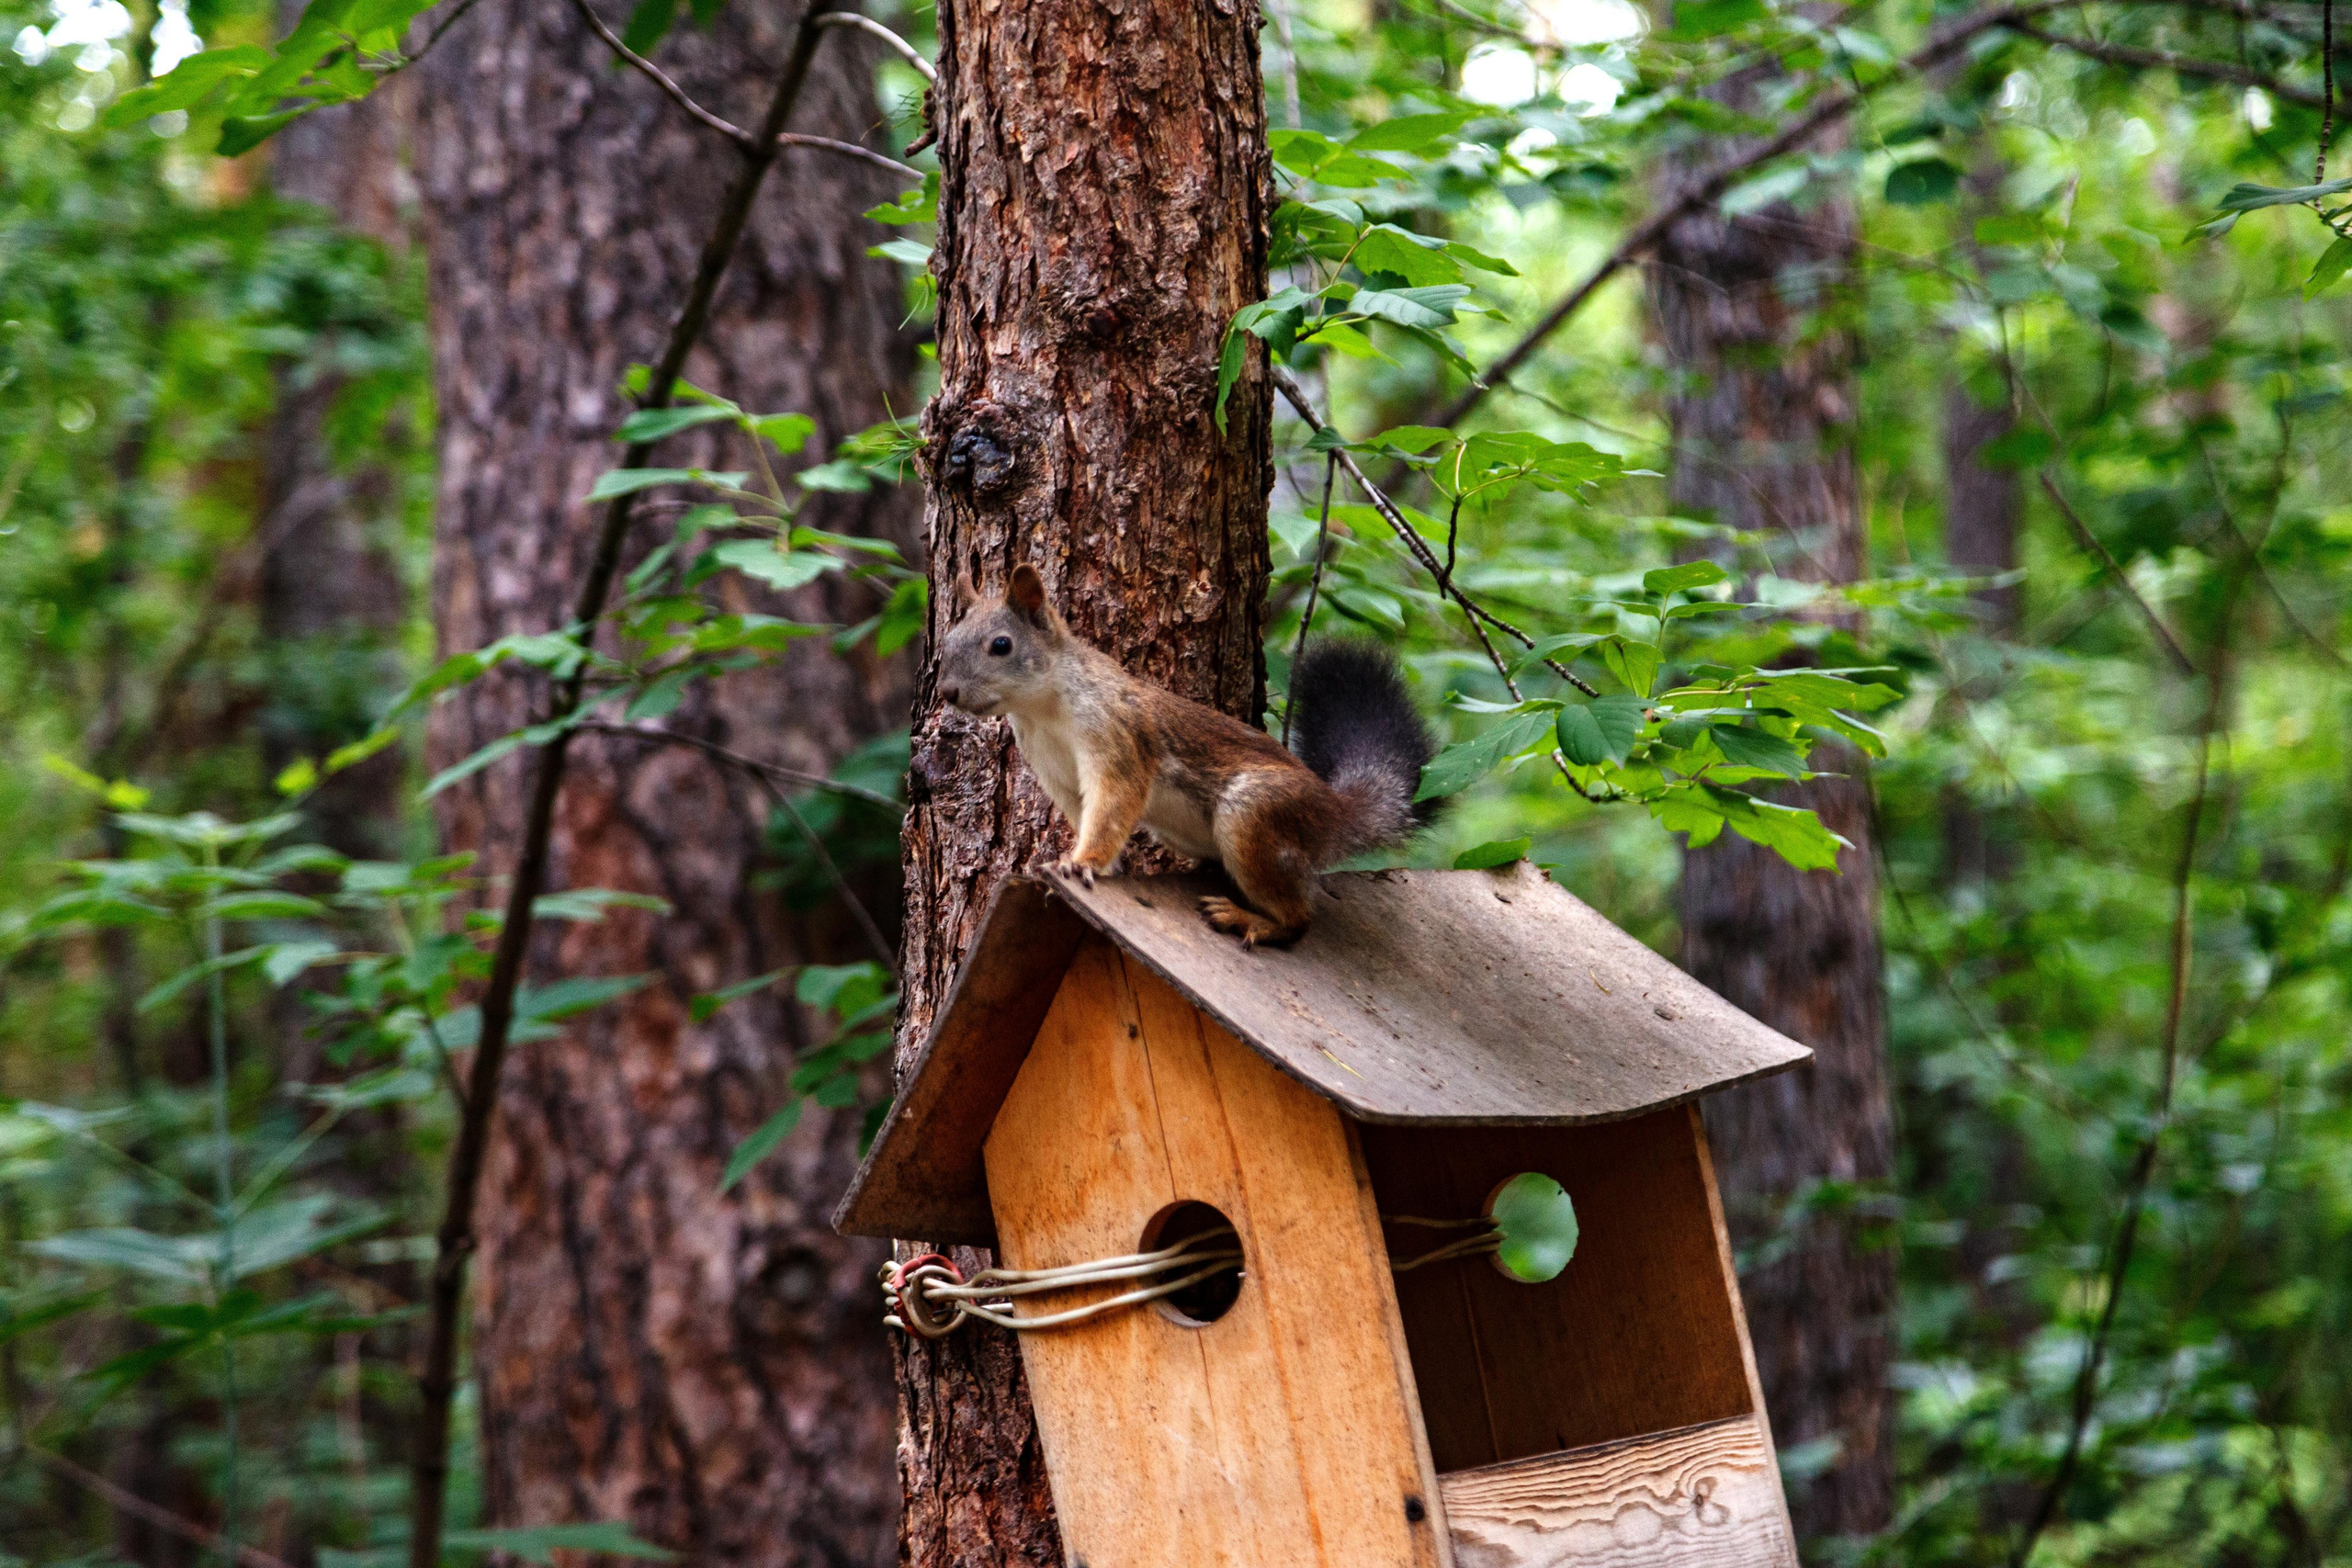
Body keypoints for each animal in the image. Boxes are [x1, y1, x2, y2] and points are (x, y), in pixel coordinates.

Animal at [936, 563, 1435, 947]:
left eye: (1002, 645)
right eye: (947, 641)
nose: (947, 692)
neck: (1043, 710)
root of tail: (1334, 814)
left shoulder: (1118, 737)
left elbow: (1113, 804)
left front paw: (1082, 862)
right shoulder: (1052, 769)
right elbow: (1083, 811)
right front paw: (1097, 865)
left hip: (1256, 813)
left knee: (1299, 918)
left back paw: (1249, 920)